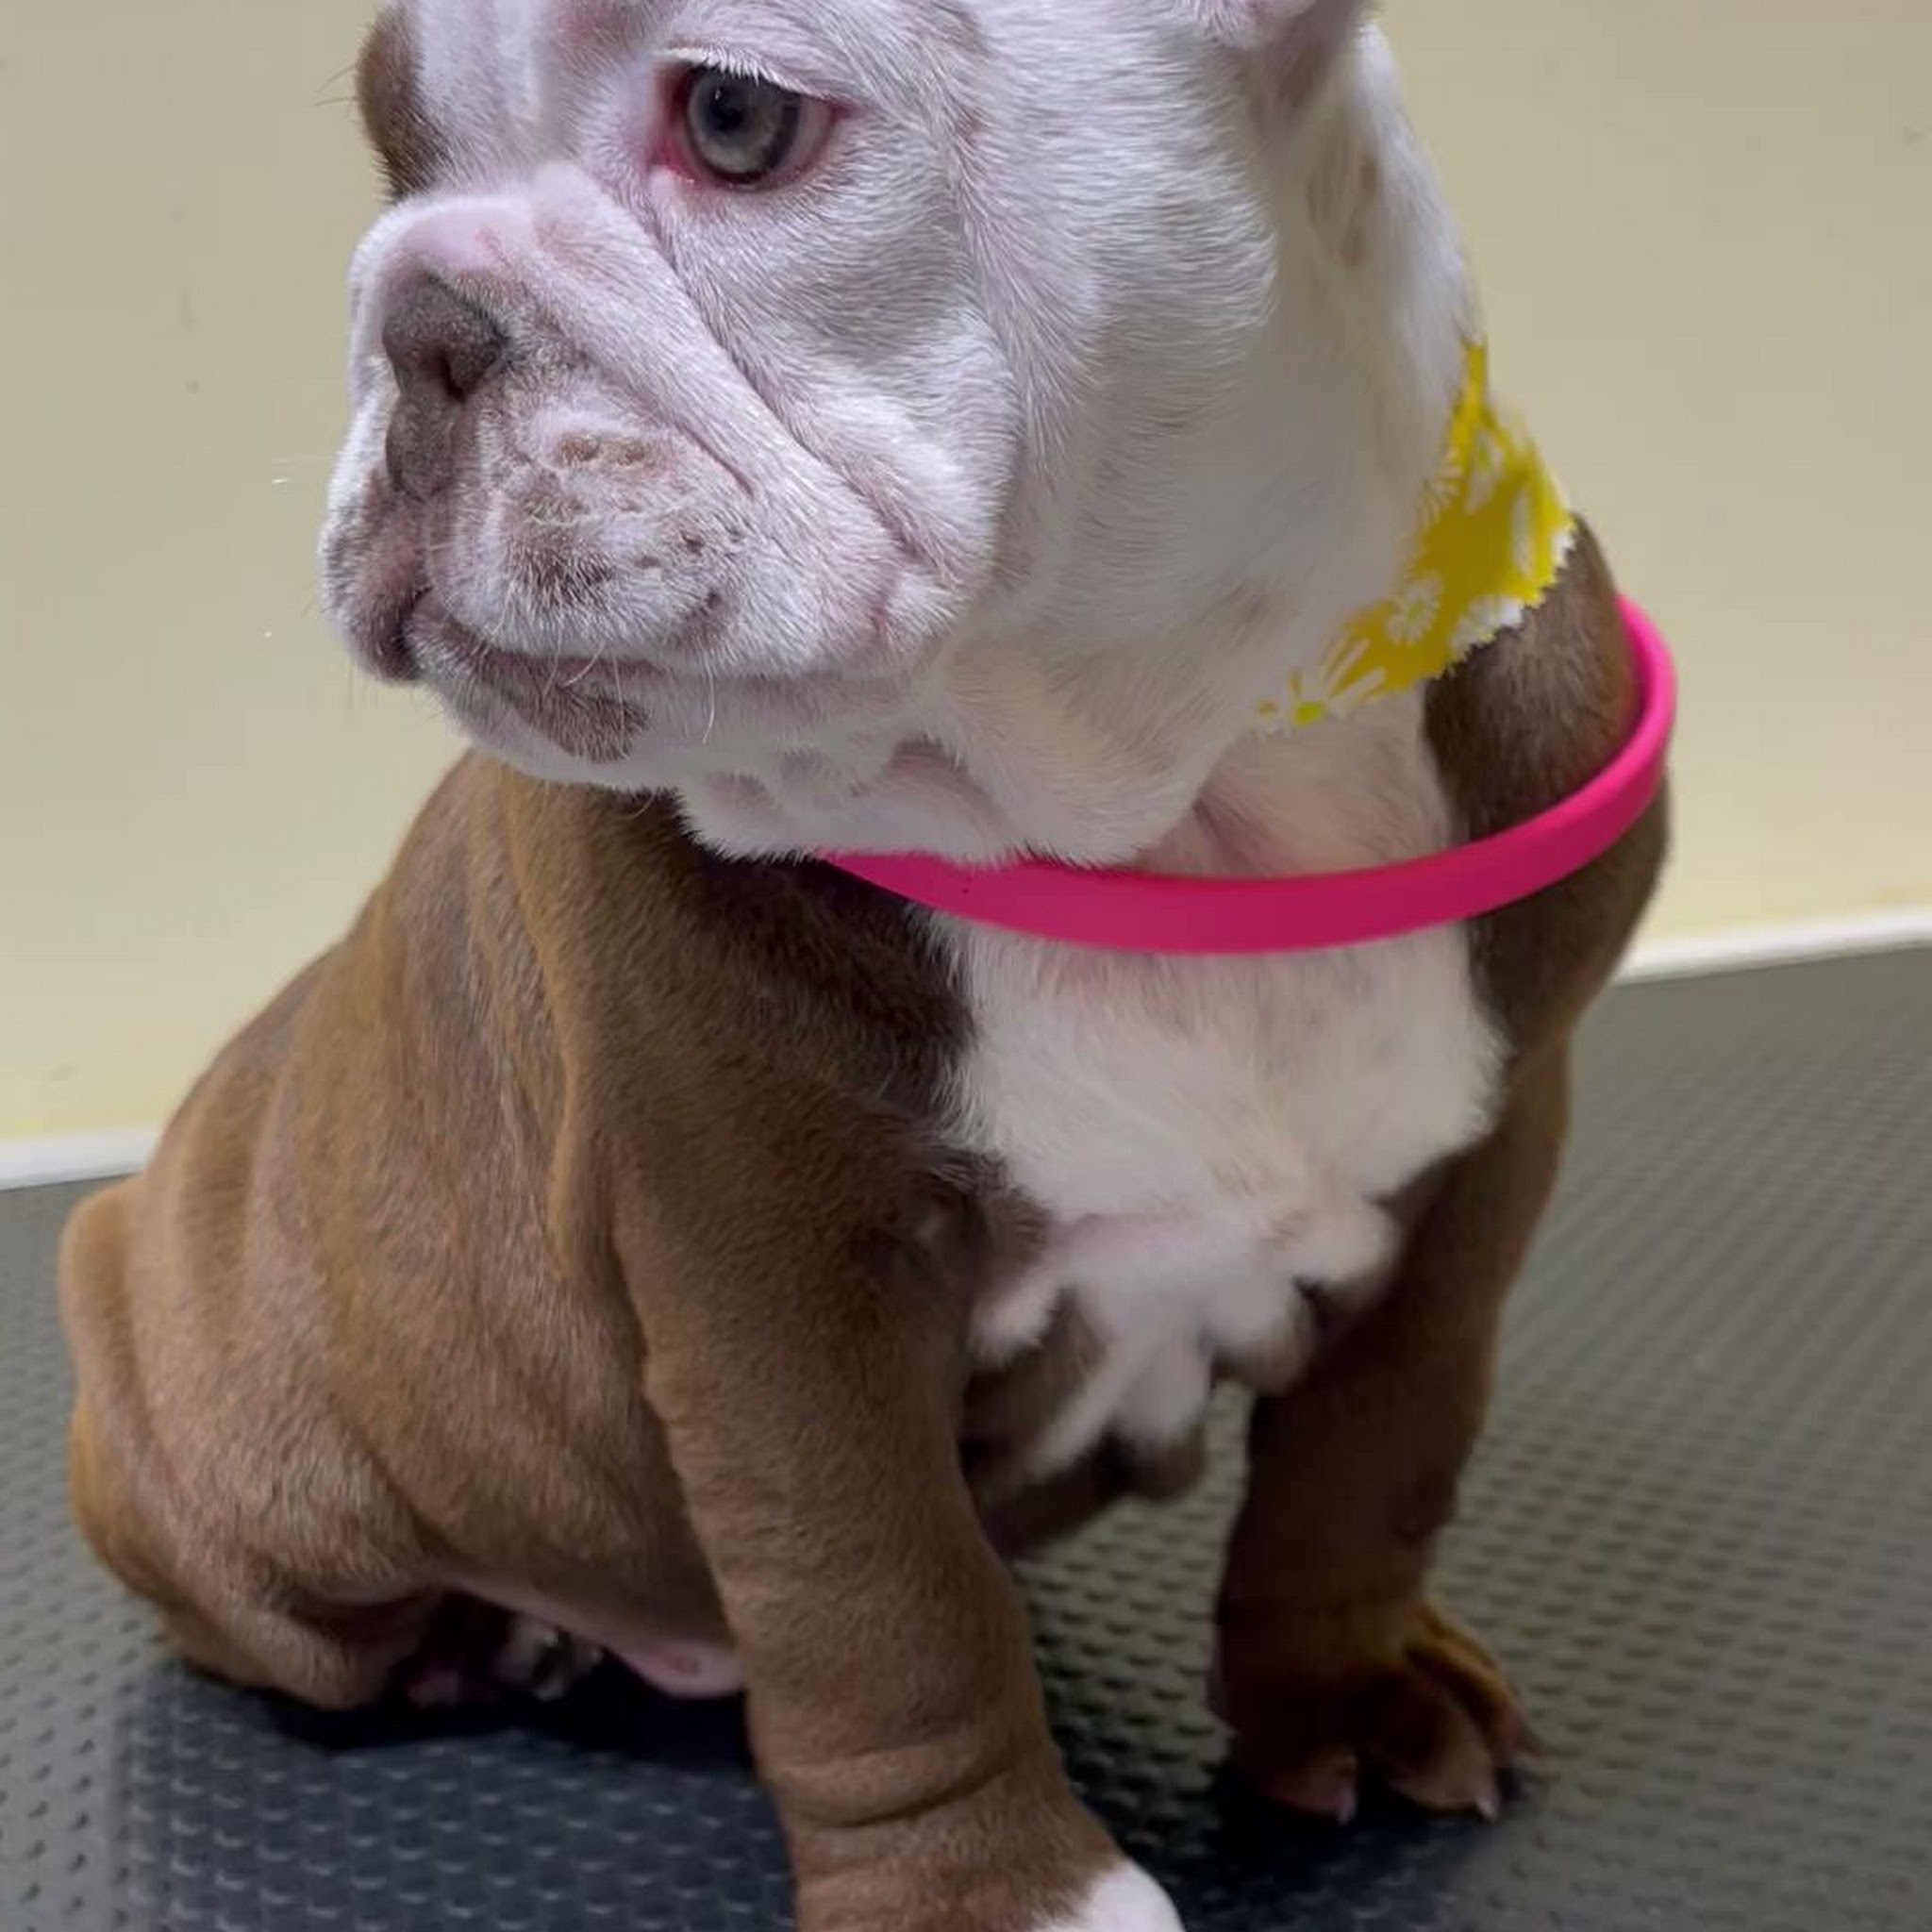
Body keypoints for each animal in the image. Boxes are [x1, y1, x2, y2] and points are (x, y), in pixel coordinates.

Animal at [60, 3, 1665, 1927]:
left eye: (737, 120)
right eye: (395, 153)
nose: (420, 315)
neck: (1168, 816)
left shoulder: (1478, 1174)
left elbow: (1373, 1457)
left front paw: (1343, 1691)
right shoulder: (773, 1274)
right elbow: (882, 1599)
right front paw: (994, 1894)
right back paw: (483, 1639)